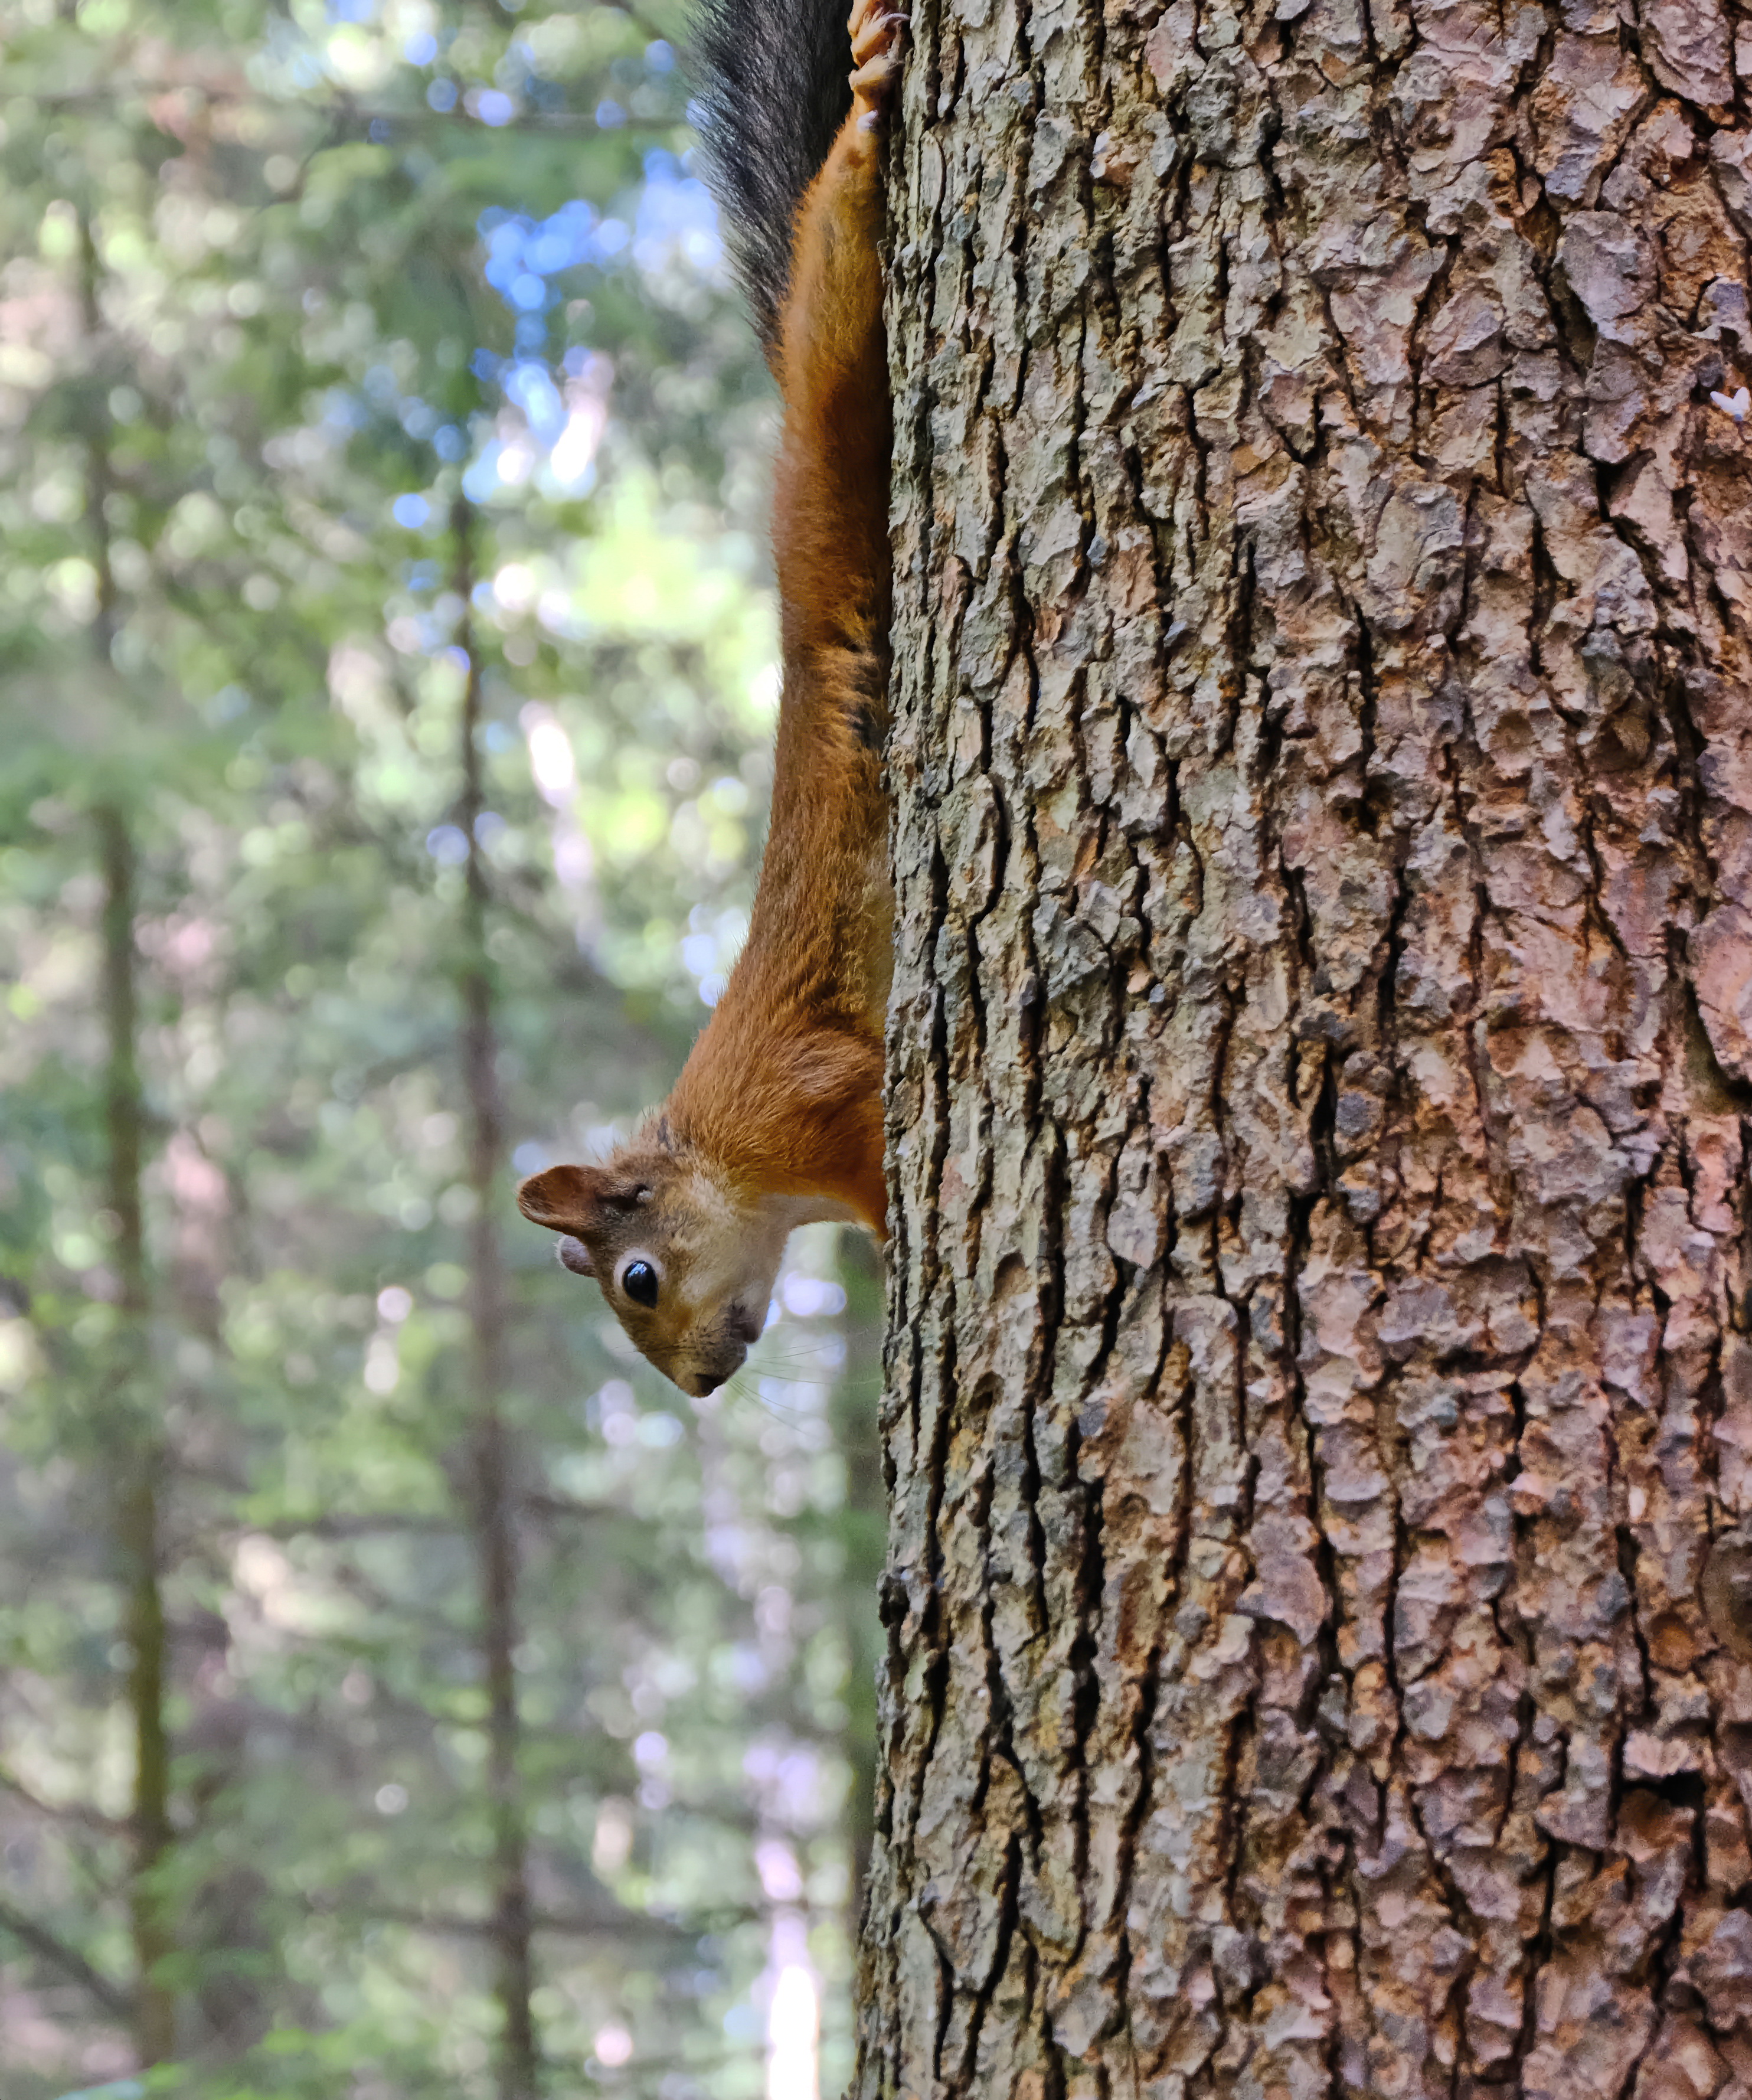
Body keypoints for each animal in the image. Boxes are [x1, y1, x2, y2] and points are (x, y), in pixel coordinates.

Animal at [512, 4, 899, 1411]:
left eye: (636, 1279)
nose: (695, 1385)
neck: (743, 1166)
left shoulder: (807, 1098)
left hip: (831, 388)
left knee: (835, 259)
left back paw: (862, 109)